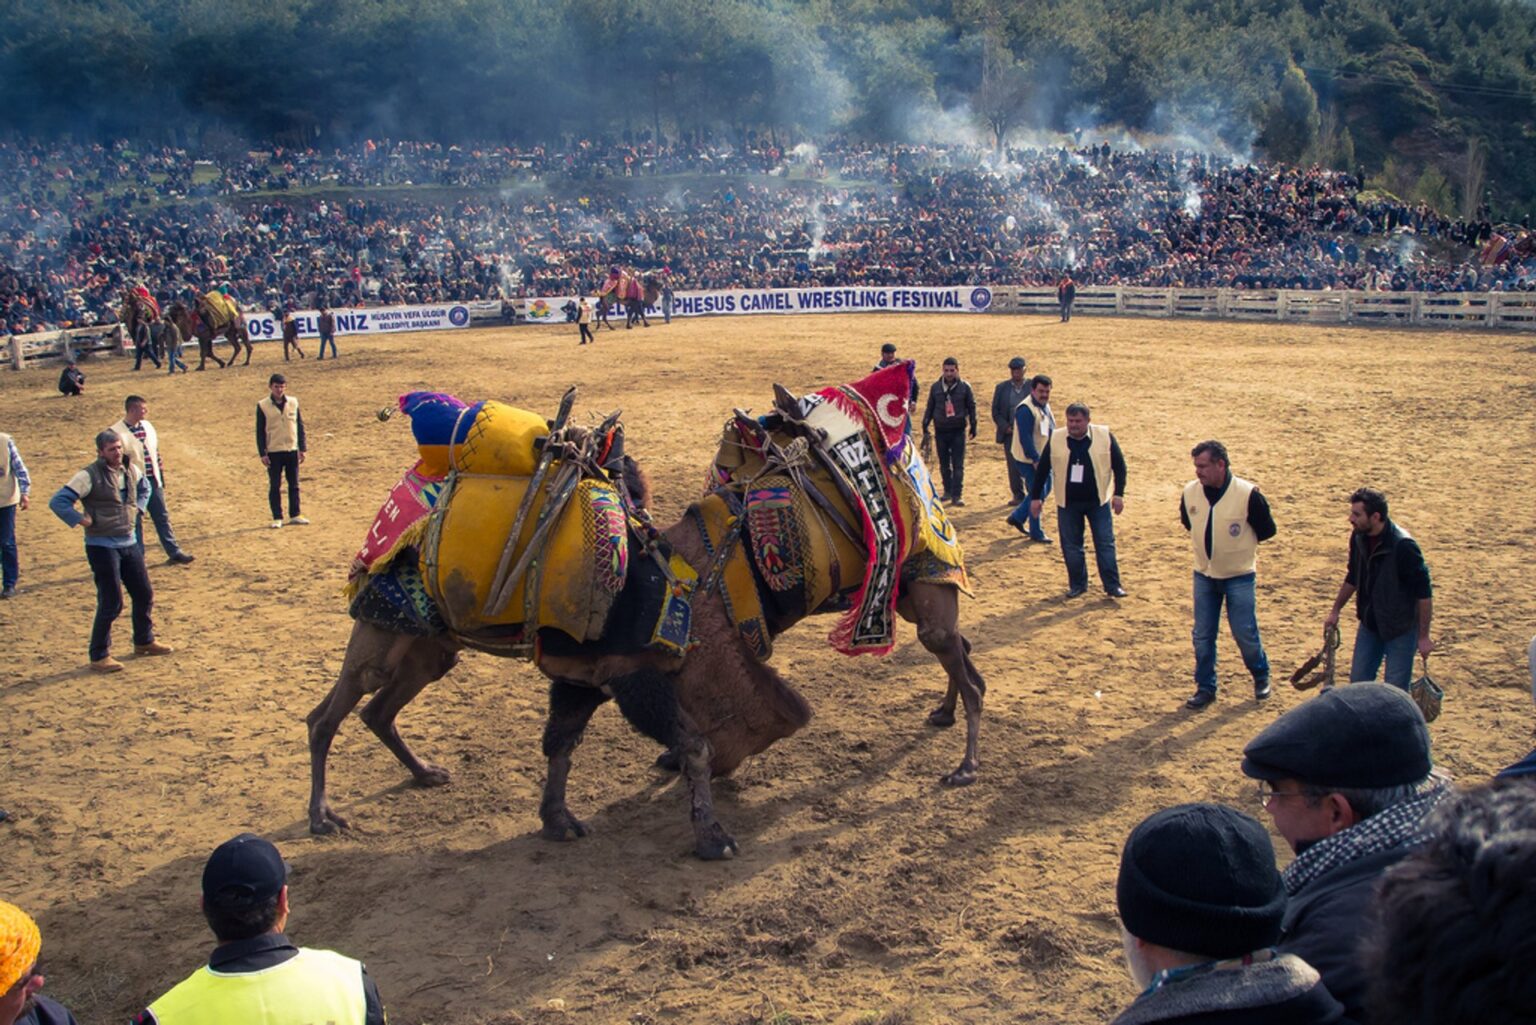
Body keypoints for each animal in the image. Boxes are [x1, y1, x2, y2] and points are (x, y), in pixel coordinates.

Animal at [308, 393, 983, 860]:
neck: (701, 586)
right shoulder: (634, 675)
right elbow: (693, 744)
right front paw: (712, 837)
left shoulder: (585, 675)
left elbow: (563, 743)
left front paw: (558, 820)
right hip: (385, 629)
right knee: (332, 711)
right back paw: (324, 815)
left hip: (429, 648)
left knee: (378, 708)